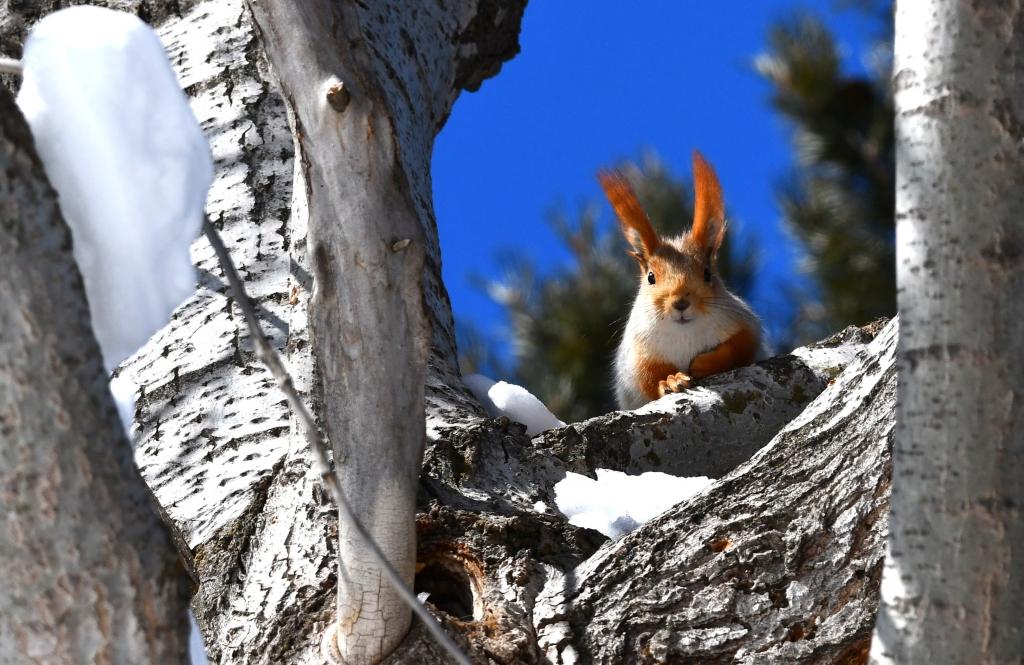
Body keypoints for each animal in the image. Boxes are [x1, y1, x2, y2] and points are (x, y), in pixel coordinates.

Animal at [599, 151, 764, 410]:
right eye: (650, 277)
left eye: (707, 273)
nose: (680, 302)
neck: (684, 333)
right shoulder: (637, 355)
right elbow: (647, 376)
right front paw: (670, 380)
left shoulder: (745, 324)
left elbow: (740, 347)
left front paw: (706, 363)